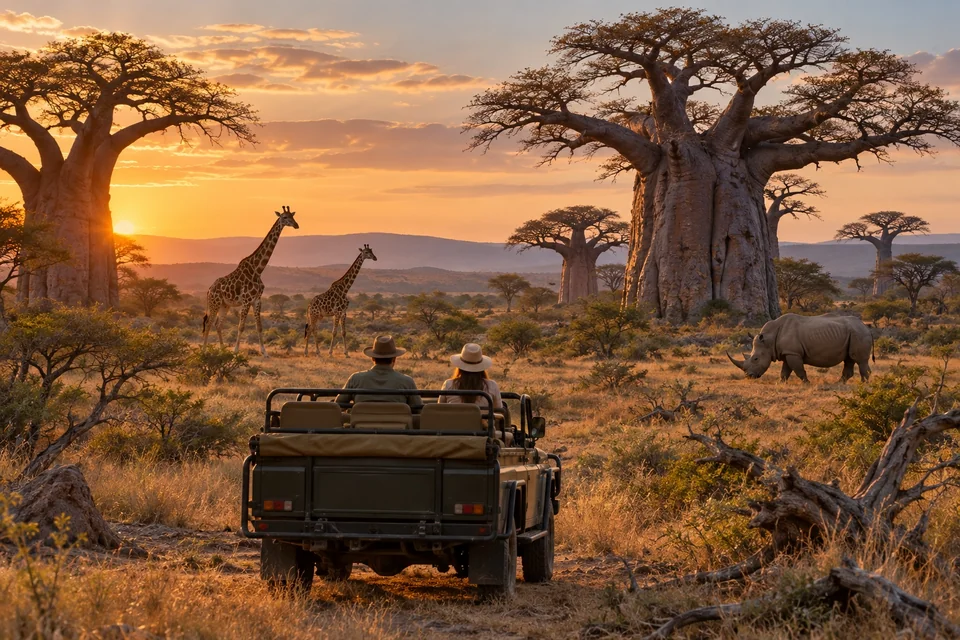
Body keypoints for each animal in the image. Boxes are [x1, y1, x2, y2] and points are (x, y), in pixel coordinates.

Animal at [202, 206, 299, 356]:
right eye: (284, 217)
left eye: (293, 216)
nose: (296, 225)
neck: (258, 269)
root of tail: (209, 290)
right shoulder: (247, 300)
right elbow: (241, 326)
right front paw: (236, 351)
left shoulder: (257, 300)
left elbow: (259, 327)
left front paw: (264, 353)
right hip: (215, 303)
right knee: (209, 323)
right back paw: (204, 351)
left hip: (225, 305)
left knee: (218, 324)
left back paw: (223, 349)